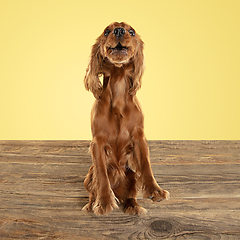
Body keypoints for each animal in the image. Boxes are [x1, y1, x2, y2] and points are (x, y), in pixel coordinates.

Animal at [83, 21, 170, 215]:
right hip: (89, 174)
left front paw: (155, 190)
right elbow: (102, 175)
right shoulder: (97, 143)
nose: (119, 30)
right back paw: (92, 204)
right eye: (106, 31)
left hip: (131, 173)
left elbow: (146, 164)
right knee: (94, 188)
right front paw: (104, 202)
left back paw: (133, 206)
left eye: (132, 31)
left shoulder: (139, 136)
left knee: (131, 193)